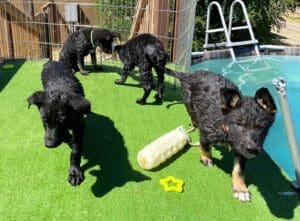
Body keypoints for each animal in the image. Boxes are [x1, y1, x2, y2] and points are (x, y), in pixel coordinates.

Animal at [166, 69, 276, 202]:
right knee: (194, 117)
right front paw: (206, 158)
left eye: (261, 128)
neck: (224, 125)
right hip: (190, 104)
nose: (253, 150)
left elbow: (239, 169)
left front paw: (241, 189)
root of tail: (188, 75)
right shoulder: (206, 130)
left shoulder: (241, 148)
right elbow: (205, 146)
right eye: (238, 124)